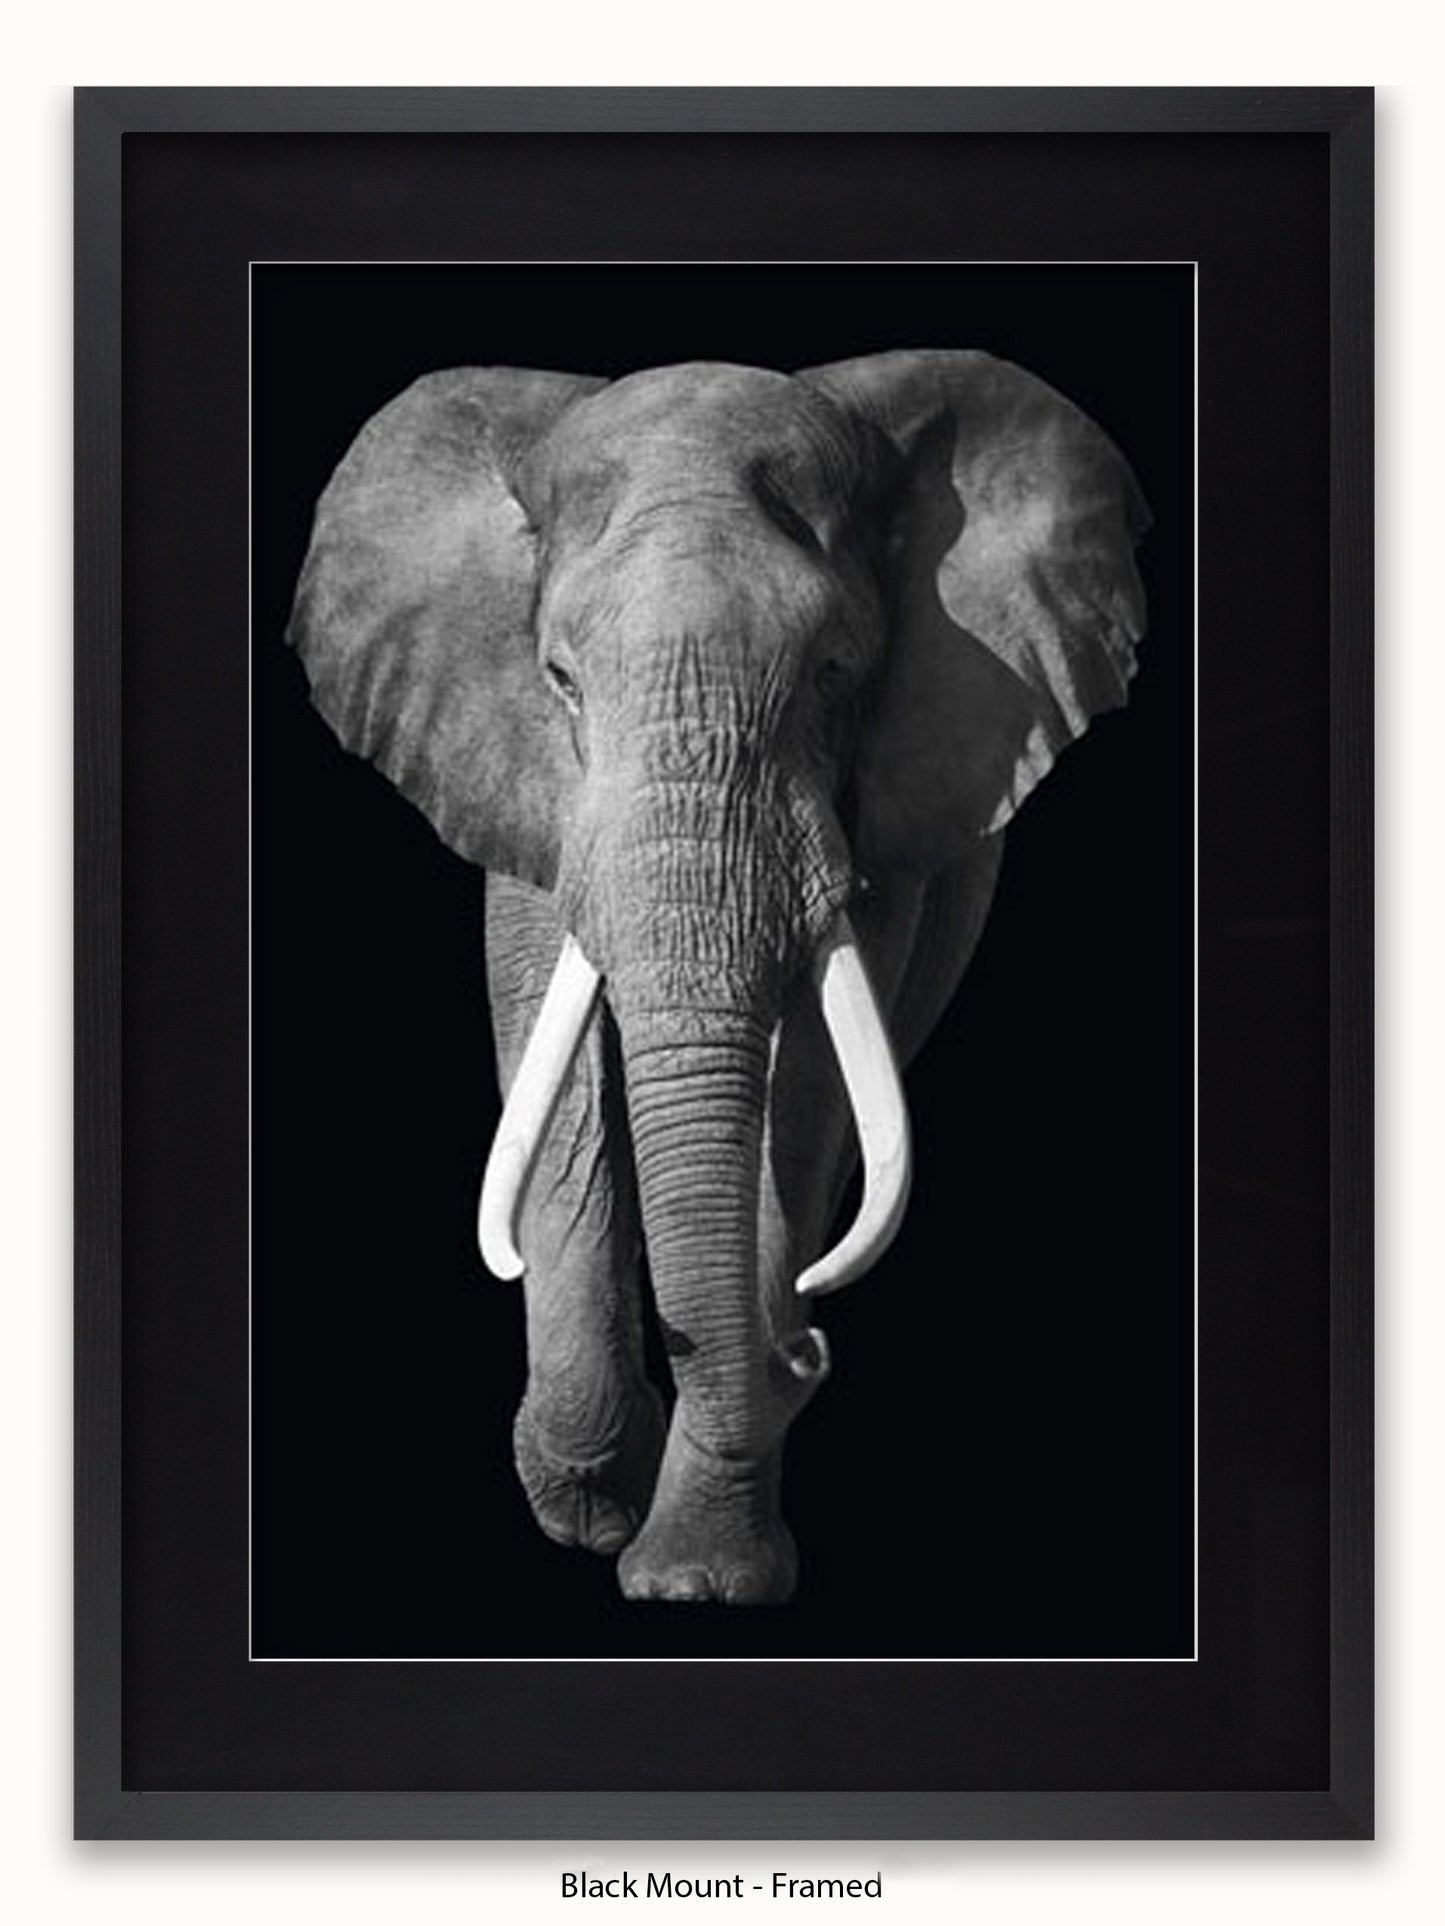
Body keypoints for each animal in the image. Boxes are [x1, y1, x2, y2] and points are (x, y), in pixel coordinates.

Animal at [287, 350, 1148, 1605]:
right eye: (559, 678)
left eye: (836, 671)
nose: (806, 1349)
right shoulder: (521, 778)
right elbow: (560, 1066)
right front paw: (592, 1502)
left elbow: (804, 1091)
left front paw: (695, 1577)